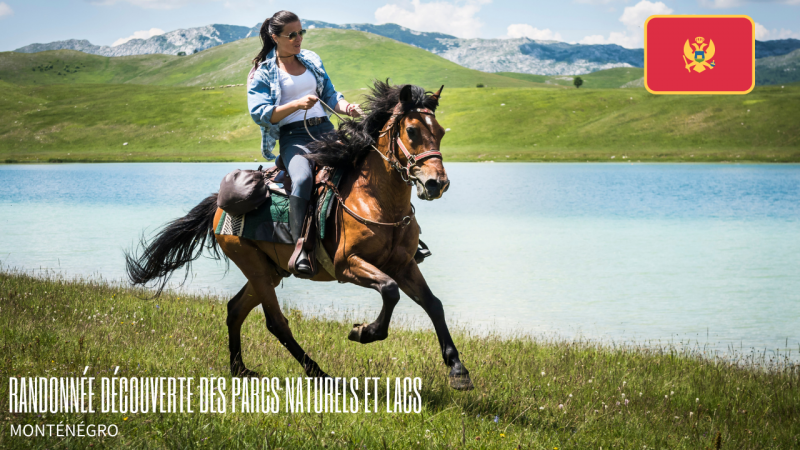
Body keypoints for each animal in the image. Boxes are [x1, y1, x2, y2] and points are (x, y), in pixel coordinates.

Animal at [126, 81, 472, 390]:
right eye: (412, 131)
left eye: (441, 132)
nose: (436, 183)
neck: (376, 199)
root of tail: (218, 206)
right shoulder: (348, 265)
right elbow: (389, 291)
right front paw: (363, 332)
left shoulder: (403, 265)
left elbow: (433, 304)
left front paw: (458, 370)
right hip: (253, 265)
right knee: (276, 323)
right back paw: (319, 374)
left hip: (269, 270)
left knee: (235, 309)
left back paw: (240, 369)